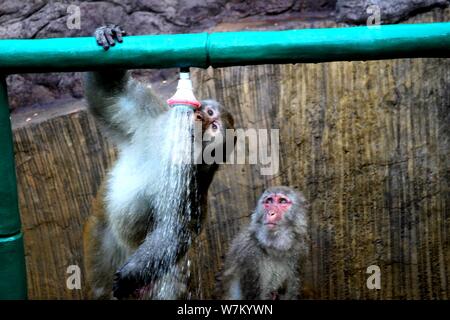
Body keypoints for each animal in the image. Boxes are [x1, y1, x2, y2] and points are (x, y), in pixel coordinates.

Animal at [82, 25, 236, 300]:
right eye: (209, 114)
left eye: (214, 128)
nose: (200, 116)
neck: (173, 149)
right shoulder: (151, 117)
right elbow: (109, 96)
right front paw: (108, 33)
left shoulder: (190, 187)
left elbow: (172, 231)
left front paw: (130, 275)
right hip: (100, 238)